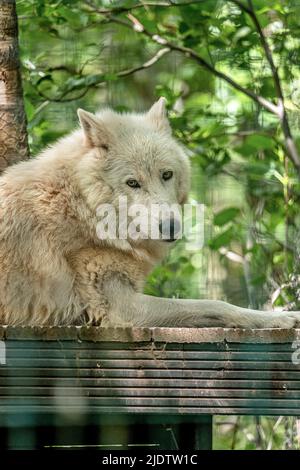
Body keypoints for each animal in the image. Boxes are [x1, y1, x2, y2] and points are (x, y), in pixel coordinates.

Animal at [0, 98, 300, 326]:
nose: (171, 227)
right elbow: (216, 304)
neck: (80, 205)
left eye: (166, 175)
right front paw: (280, 319)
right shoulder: (121, 308)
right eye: (132, 183)